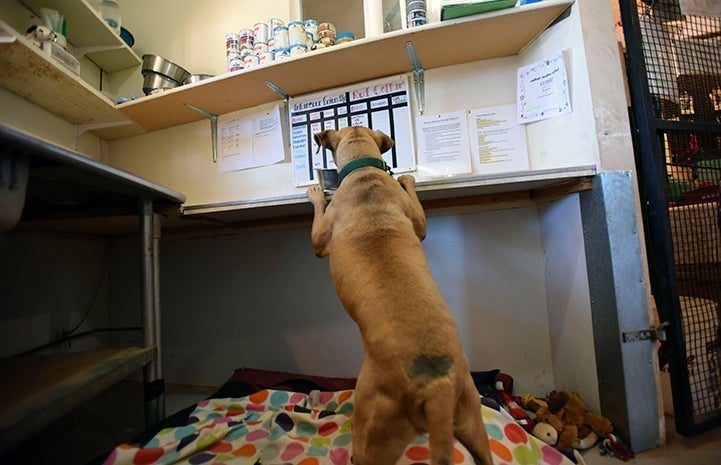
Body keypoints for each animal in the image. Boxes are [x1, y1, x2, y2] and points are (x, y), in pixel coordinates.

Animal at [304, 126, 496, 464]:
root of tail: (436, 391)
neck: (364, 170)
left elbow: (318, 225)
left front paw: (316, 194)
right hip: (471, 418)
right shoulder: (417, 221)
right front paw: (407, 180)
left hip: (372, 427)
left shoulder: (320, 239)